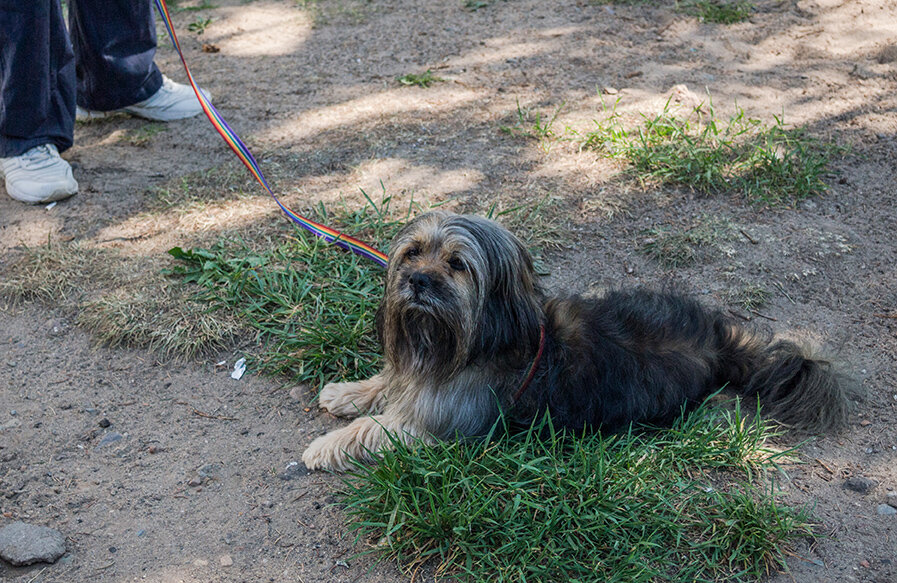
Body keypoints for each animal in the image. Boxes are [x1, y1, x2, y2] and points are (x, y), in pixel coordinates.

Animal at [300, 212, 848, 472]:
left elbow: (374, 429)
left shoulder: (435, 423)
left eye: (456, 264)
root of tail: (719, 346)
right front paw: (346, 393)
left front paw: (325, 445)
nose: (415, 281)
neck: (462, 341)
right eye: (412, 252)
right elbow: (386, 381)